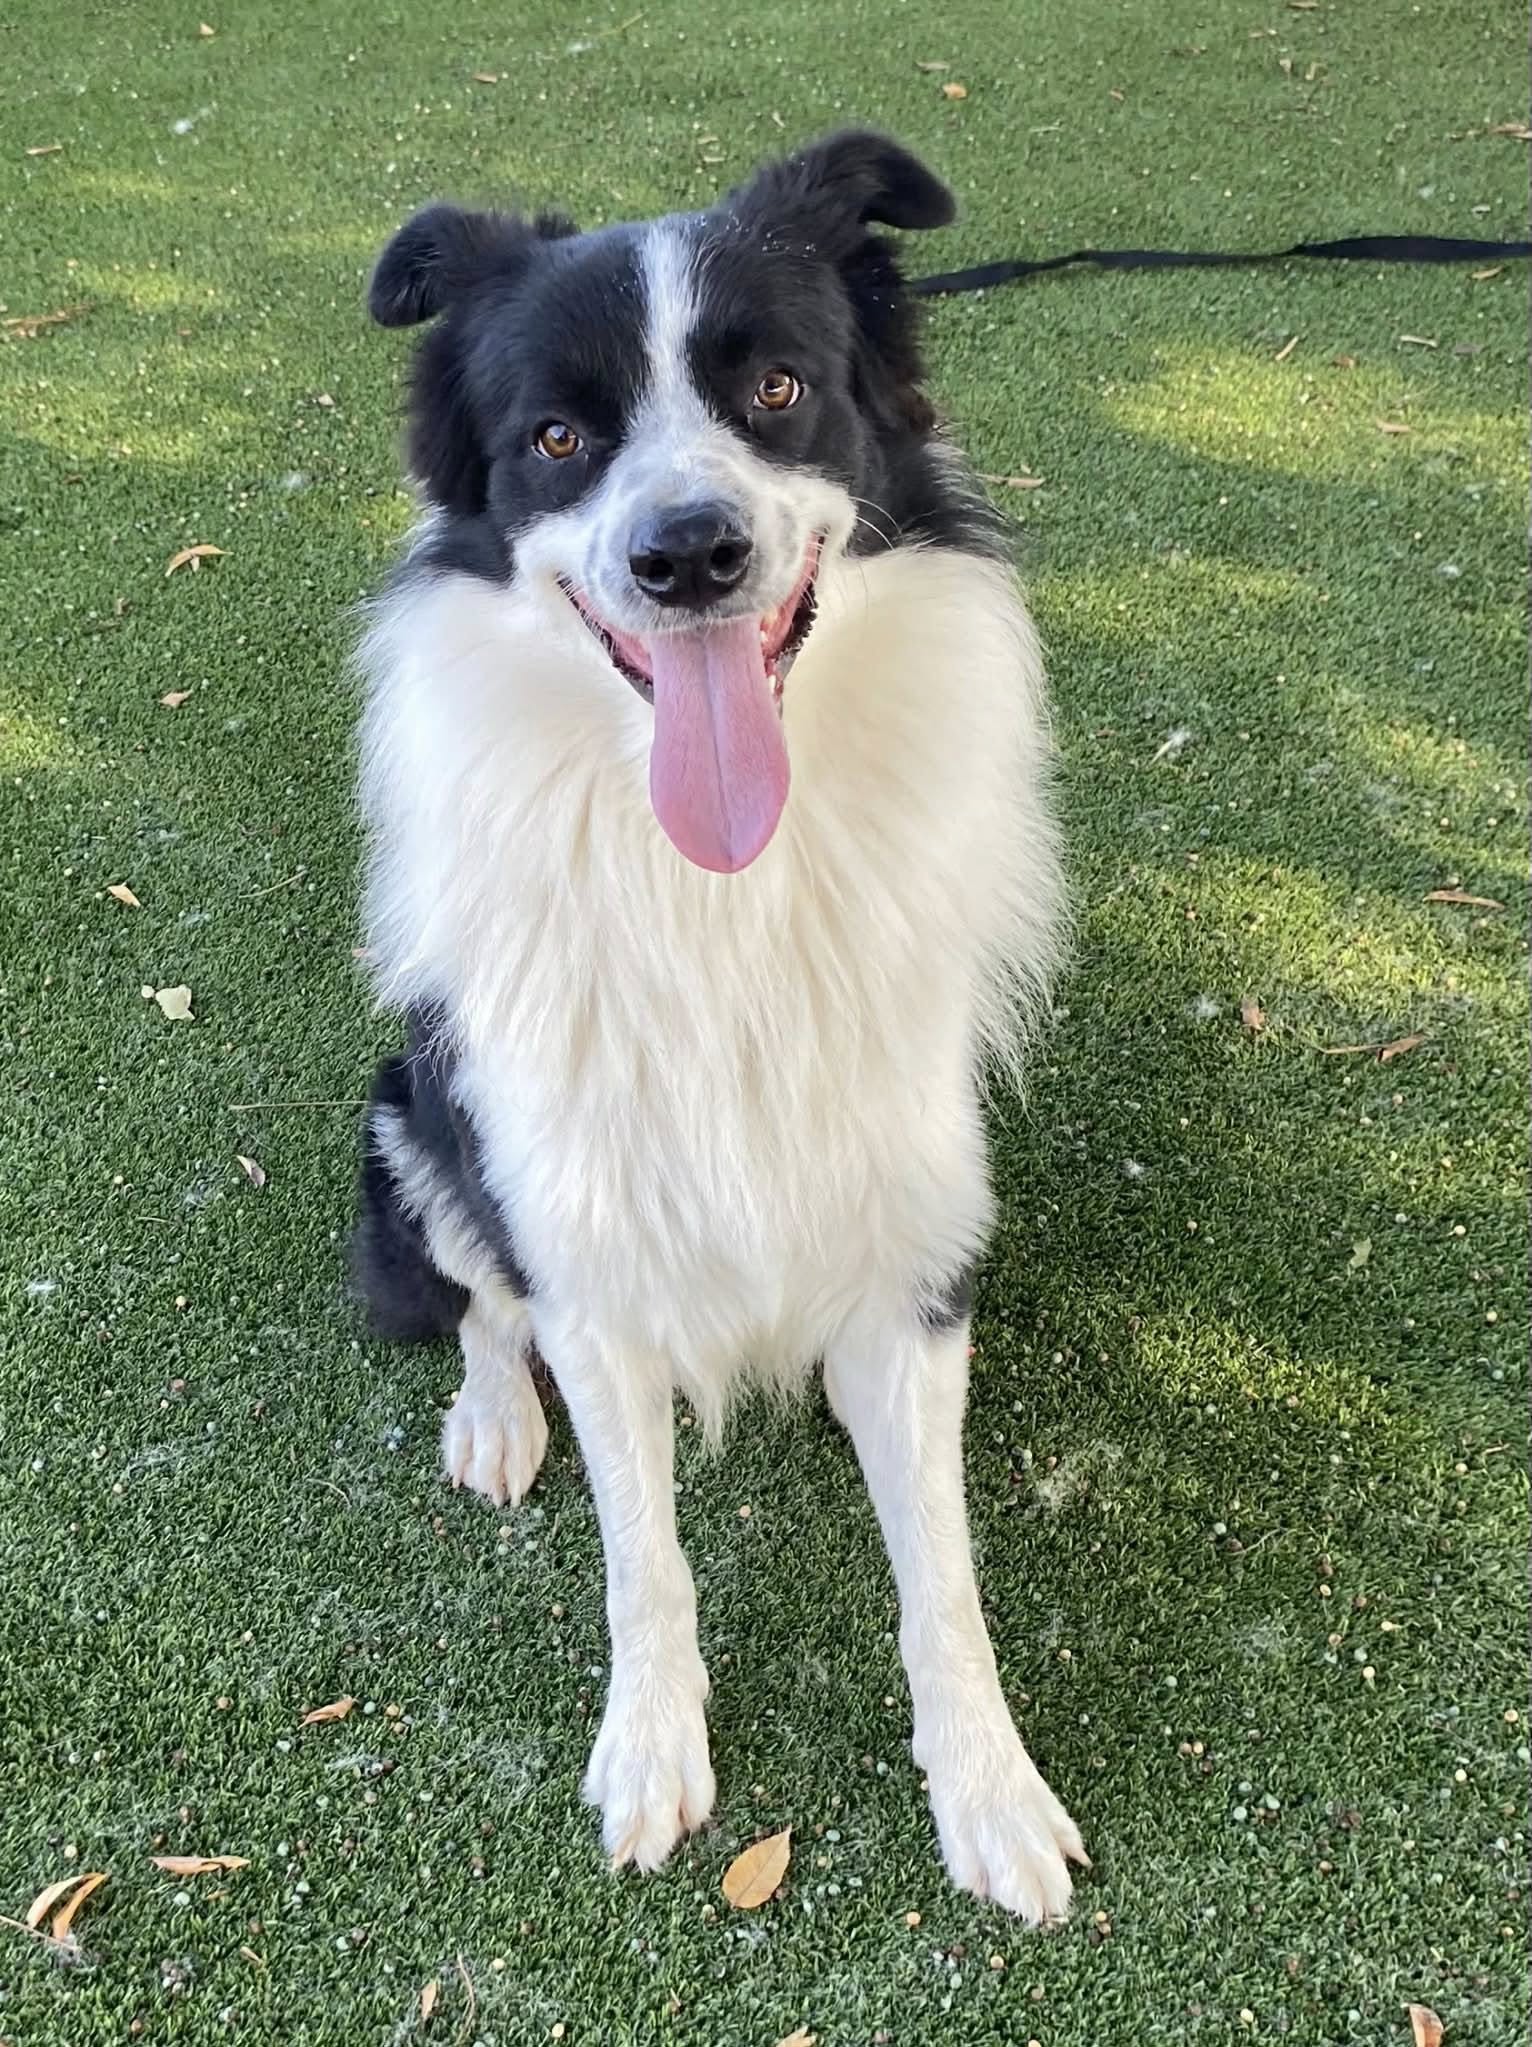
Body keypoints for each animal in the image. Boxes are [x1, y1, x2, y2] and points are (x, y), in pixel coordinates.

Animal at [351, 130, 1084, 1921]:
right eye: (556, 437)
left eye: (777, 388)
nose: (688, 552)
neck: (716, 889)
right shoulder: (587, 1251)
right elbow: (645, 1561)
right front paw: (651, 1751)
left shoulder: (914, 1250)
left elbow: (943, 1570)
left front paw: (990, 1786)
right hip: (417, 1109)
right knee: (477, 1299)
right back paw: (493, 1414)